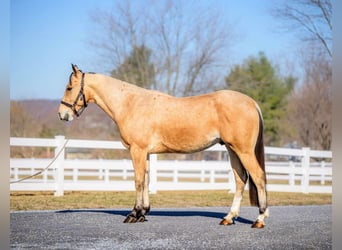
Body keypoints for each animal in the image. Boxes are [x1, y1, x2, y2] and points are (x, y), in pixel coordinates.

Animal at [58, 64, 270, 229]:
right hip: (232, 149)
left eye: (69, 87)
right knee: (240, 179)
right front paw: (143, 213)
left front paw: (133, 214)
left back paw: (260, 219)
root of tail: (252, 103)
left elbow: (138, 181)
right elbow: (146, 180)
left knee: (258, 176)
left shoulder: (137, 150)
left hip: (243, 151)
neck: (130, 104)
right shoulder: (145, 152)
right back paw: (229, 217)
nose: (62, 115)